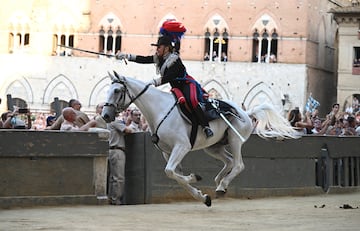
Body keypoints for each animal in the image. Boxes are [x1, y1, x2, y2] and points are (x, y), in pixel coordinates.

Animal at [102, 71, 298, 207]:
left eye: (117, 90)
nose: (105, 115)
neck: (160, 110)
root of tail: (246, 113)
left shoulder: (181, 147)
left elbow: (171, 172)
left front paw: (195, 179)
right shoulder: (167, 152)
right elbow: (176, 176)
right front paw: (202, 196)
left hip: (235, 140)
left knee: (238, 164)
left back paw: (222, 186)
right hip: (213, 147)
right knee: (228, 161)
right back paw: (219, 183)